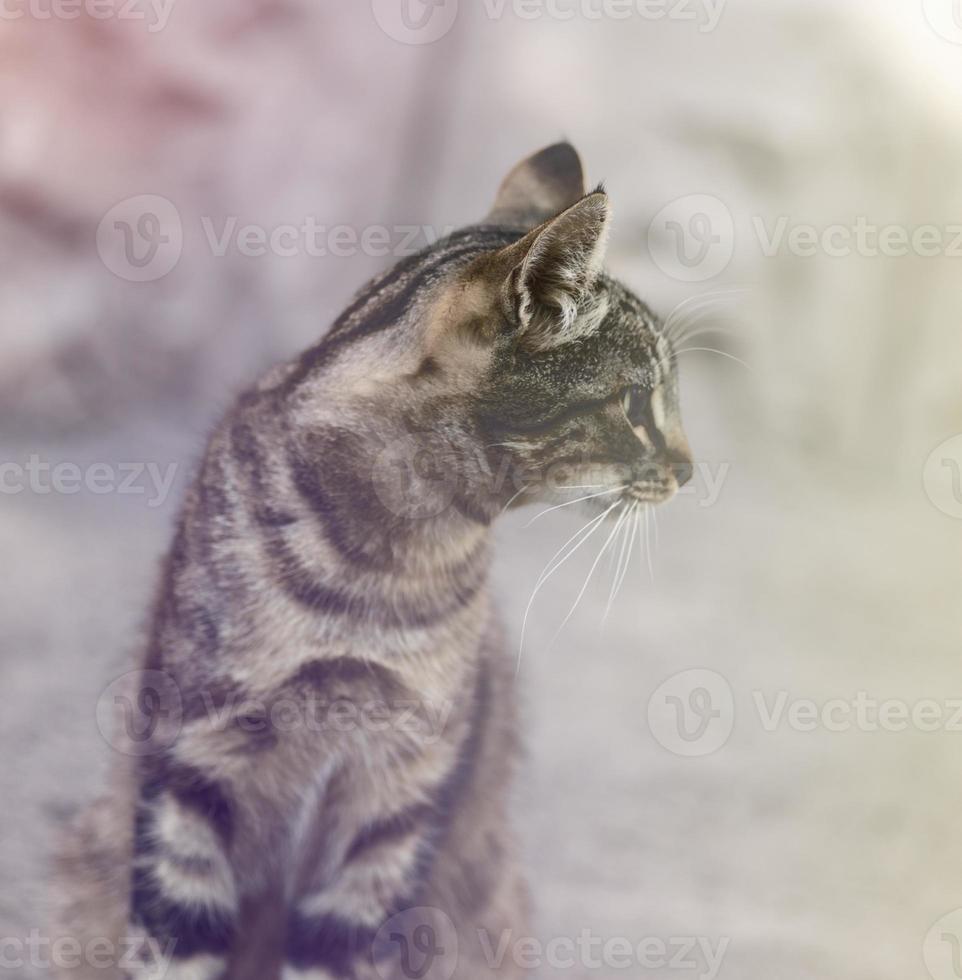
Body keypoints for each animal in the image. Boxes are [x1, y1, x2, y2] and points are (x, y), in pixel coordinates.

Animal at [54, 140, 688, 980]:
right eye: (638, 405)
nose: (690, 469)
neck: (381, 566)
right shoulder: (192, 762)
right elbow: (174, 948)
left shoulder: (393, 803)